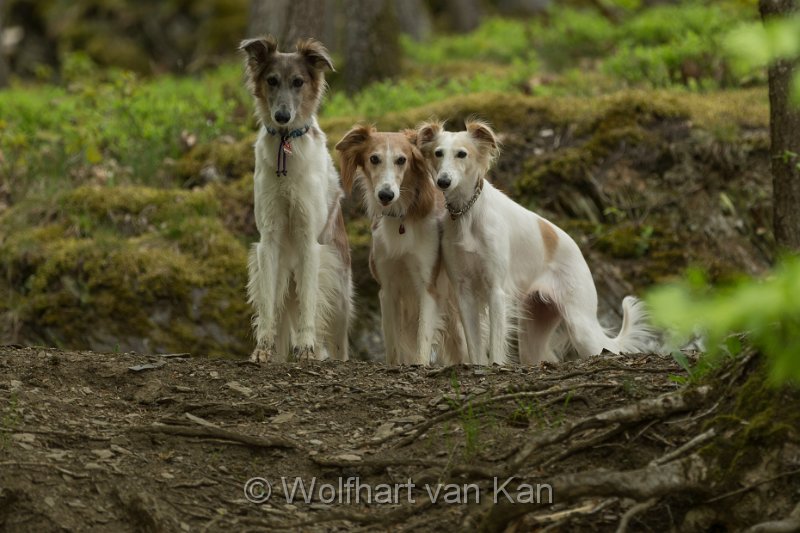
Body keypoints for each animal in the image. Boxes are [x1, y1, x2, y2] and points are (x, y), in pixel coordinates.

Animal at [238, 36, 350, 362]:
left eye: (298, 82)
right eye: (272, 80)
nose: (282, 116)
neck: (286, 146)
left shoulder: (308, 240)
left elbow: (308, 304)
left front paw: (306, 349)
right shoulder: (269, 239)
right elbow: (266, 307)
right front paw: (262, 349)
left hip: (337, 287)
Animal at [332, 125, 468, 366]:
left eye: (401, 160)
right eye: (374, 158)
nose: (386, 195)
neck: (402, 219)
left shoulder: (428, 287)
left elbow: (423, 340)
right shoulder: (388, 290)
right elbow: (394, 346)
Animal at [416, 118, 652, 364]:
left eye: (462, 154)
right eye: (438, 153)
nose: (443, 182)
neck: (467, 212)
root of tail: (577, 249)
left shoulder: (496, 291)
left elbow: (496, 346)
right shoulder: (464, 292)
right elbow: (475, 349)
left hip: (581, 326)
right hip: (534, 332)